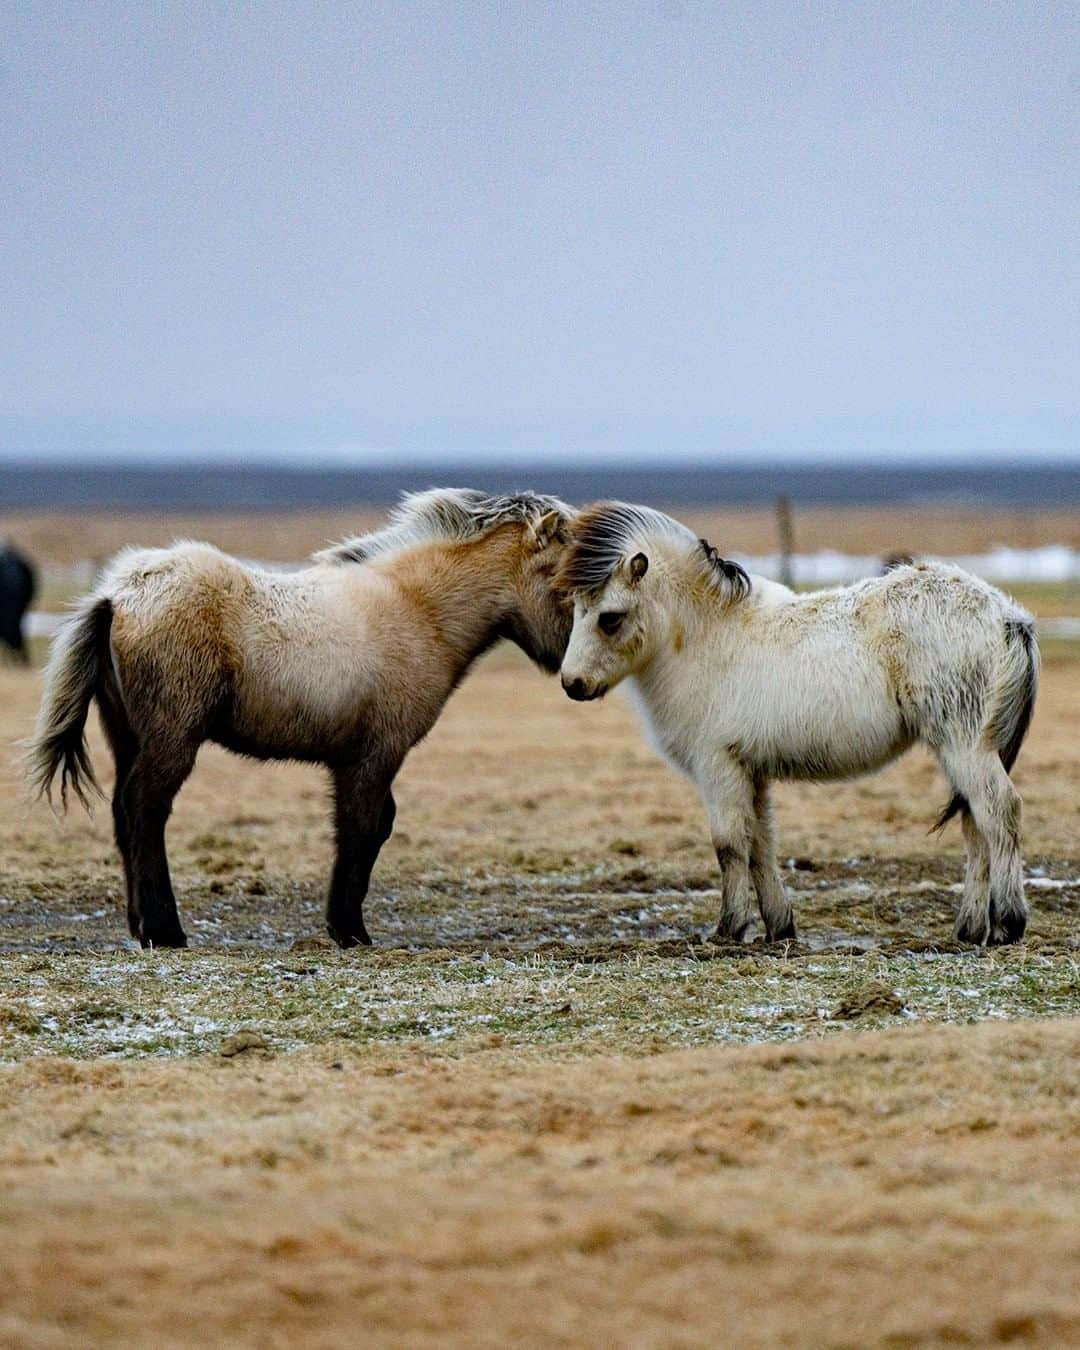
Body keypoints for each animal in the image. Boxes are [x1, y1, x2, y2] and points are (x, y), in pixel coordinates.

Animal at [29, 488, 577, 950]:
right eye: (565, 580)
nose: (573, 678)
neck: (415, 608)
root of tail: (117, 598)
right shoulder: (375, 756)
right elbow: (360, 827)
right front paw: (349, 931)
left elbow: (374, 827)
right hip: (171, 739)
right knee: (145, 809)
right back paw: (166, 931)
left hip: (128, 737)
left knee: (124, 814)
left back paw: (139, 926)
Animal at [556, 504, 1036, 950]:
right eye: (576, 609)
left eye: (610, 617)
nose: (572, 683)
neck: (709, 637)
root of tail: (1006, 615)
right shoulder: (751, 770)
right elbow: (760, 843)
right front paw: (778, 926)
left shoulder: (718, 766)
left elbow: (729, 844)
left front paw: (729, 928)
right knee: (975, 825)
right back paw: (970, 929)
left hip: (964, 745)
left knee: (999, 812)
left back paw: (1008, 922)